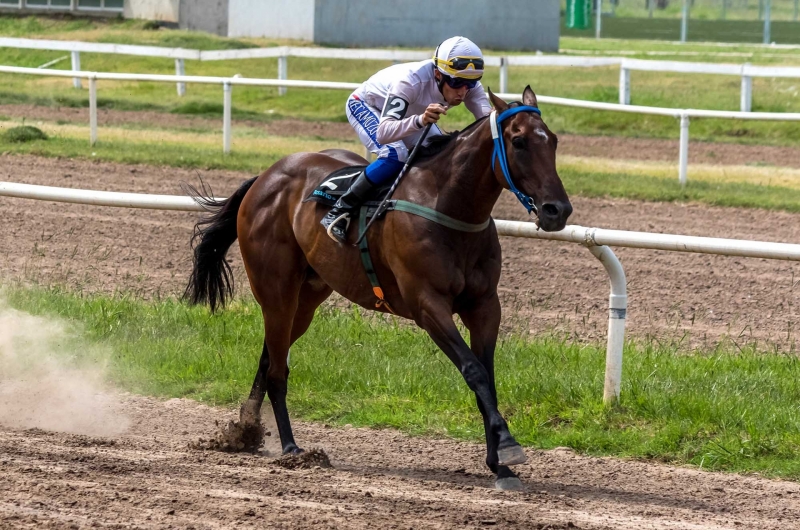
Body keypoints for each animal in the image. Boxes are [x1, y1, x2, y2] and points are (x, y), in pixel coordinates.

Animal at [184, 86, 572, 486]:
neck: (448, 206)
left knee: (270, 357)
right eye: (519, 141)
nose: (557, 210)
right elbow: (474, 370)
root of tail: (266, 176)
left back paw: (245, 431)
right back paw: (292, 448)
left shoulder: (484, 305)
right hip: (276, 291)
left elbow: (488, 377)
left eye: (553, 140)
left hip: (307, 298)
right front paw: (509, 447)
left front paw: (500, 463)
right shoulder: (427, 306)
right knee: (277, 369)